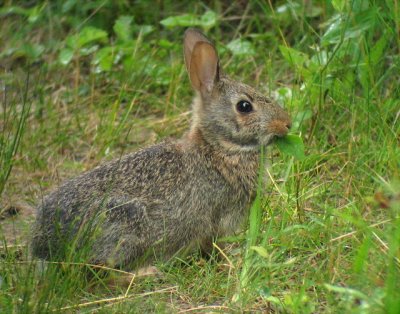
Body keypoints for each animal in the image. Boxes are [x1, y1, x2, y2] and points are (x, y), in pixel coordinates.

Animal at [31, 28, 292, 270]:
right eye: (244, 106)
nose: (287, 123)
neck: (218, 148)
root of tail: (43, 243)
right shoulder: (213, 220)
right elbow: (210, 244)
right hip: (123, 224)